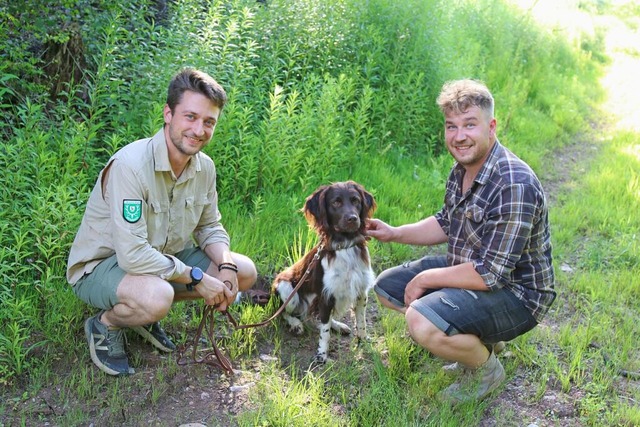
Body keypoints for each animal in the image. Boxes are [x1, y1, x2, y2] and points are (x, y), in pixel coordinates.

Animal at [272, 181, 378, 364]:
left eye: (356, 200)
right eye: (336, 202)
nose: (353, 218)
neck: (345, 245)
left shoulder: (361, 292)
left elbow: (361, 322)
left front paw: (363, 340)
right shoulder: (326, 294)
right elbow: (325, 333)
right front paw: (322, 354)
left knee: (318, 316)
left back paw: (338, 325)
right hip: (286, 288)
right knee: (284, 313)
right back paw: (295, 324)